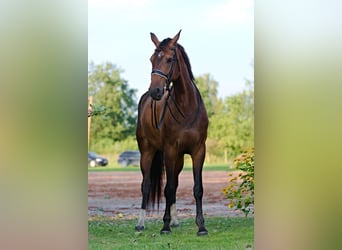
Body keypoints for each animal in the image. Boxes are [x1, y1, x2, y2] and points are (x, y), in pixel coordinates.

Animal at [136, 30, 208, 235]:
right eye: (151, 59)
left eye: (169, 59)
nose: (156, 91)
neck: (187, 107)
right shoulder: (169, 150)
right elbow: (167, 189)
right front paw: (165, 226)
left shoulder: (198, 151)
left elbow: (197, 188)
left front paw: (201, 226)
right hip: (147, 152)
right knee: (146, 185)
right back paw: (140, 223)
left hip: (179, 159)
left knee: (174, 183)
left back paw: (175, 221)